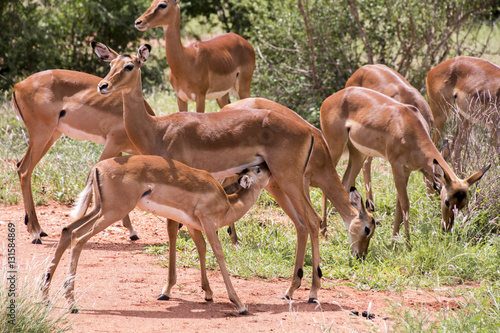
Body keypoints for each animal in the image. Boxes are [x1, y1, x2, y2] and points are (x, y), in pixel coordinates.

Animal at [46, 154, 274, 312]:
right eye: (257, 170)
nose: (268, 166)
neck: (227, 204)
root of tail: (97, 167)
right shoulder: (208, 222)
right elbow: (218, 253)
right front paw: (240, 304)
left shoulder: (192, 225)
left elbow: (201, 248)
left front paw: (208, 293)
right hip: (112, 212)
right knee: (78, 238)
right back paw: (72, 304)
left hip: (99, 209)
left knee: (67, 230)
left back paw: (46, 296)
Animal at [320, 87, 488, 244]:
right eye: (446, 201)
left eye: (464, 203)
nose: (446, 228)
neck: (409, 127)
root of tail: (331, 99)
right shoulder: (396, 167)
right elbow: (405, 204)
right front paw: (408, 244)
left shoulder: (406, 171)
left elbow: (399, 206)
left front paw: (394, 241)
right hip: (334, 149)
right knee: (326, 186)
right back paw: (324, 233)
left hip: (358, 154)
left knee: (345, 183)